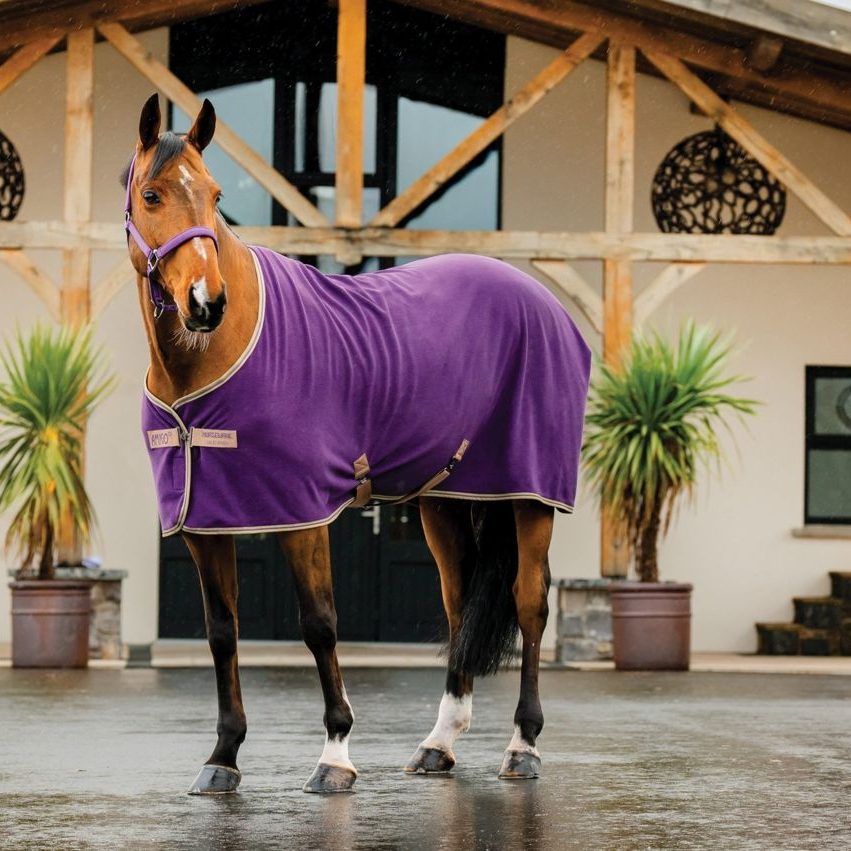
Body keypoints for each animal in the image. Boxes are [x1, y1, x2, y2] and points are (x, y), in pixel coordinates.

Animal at [124, 93, 591, 795]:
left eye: (213, 195)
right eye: (152, 195)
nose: (206, 302)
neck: (212, 357)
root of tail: (544, 303)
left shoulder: (302, 514)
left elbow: (319, 625)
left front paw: (335, 755)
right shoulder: (206, 521)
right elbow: (221, 632)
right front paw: (223, 757)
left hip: (530, 497)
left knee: (530, 605)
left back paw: (523, 747)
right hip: (446, 501)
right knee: (459, 608)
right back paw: (437, 746)